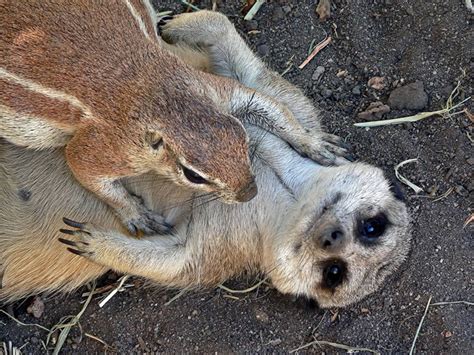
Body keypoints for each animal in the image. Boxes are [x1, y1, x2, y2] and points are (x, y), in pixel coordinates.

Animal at [0, 1, 348, 236]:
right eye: (192, 175)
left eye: (243, 137)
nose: (250, 193)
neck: (159, 97)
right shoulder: (110, 147)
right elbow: (82, 165)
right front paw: (135, 213)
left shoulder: (211, 89)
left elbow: (271, 106)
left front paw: (315, 143)